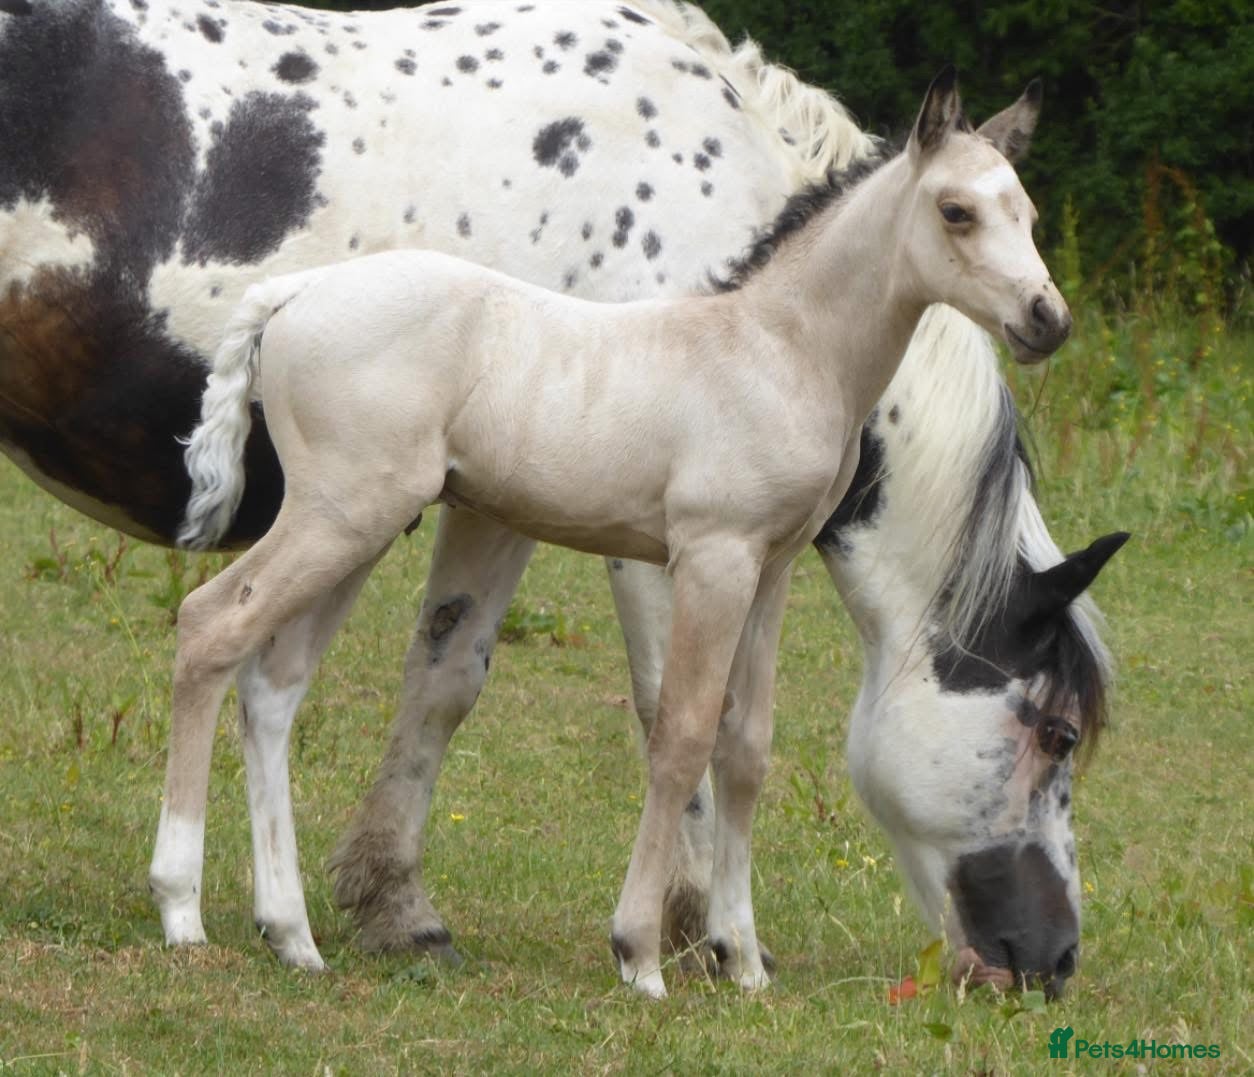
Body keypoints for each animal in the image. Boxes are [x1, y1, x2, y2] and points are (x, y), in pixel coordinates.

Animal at [0, 0, 1123, 996]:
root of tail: (294, 296)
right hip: (336, 520)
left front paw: (742, 959)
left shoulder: (764, 572)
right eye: (1053, 731)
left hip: (347, 528)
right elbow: (675, 729)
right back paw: (182, 907)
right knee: (208, 628)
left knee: (271, 684)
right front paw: (651, 948)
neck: (768, 342)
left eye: (1026, 211)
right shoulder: (695, 556)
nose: (1047, 960)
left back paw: (293, 934)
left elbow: (741, 746)